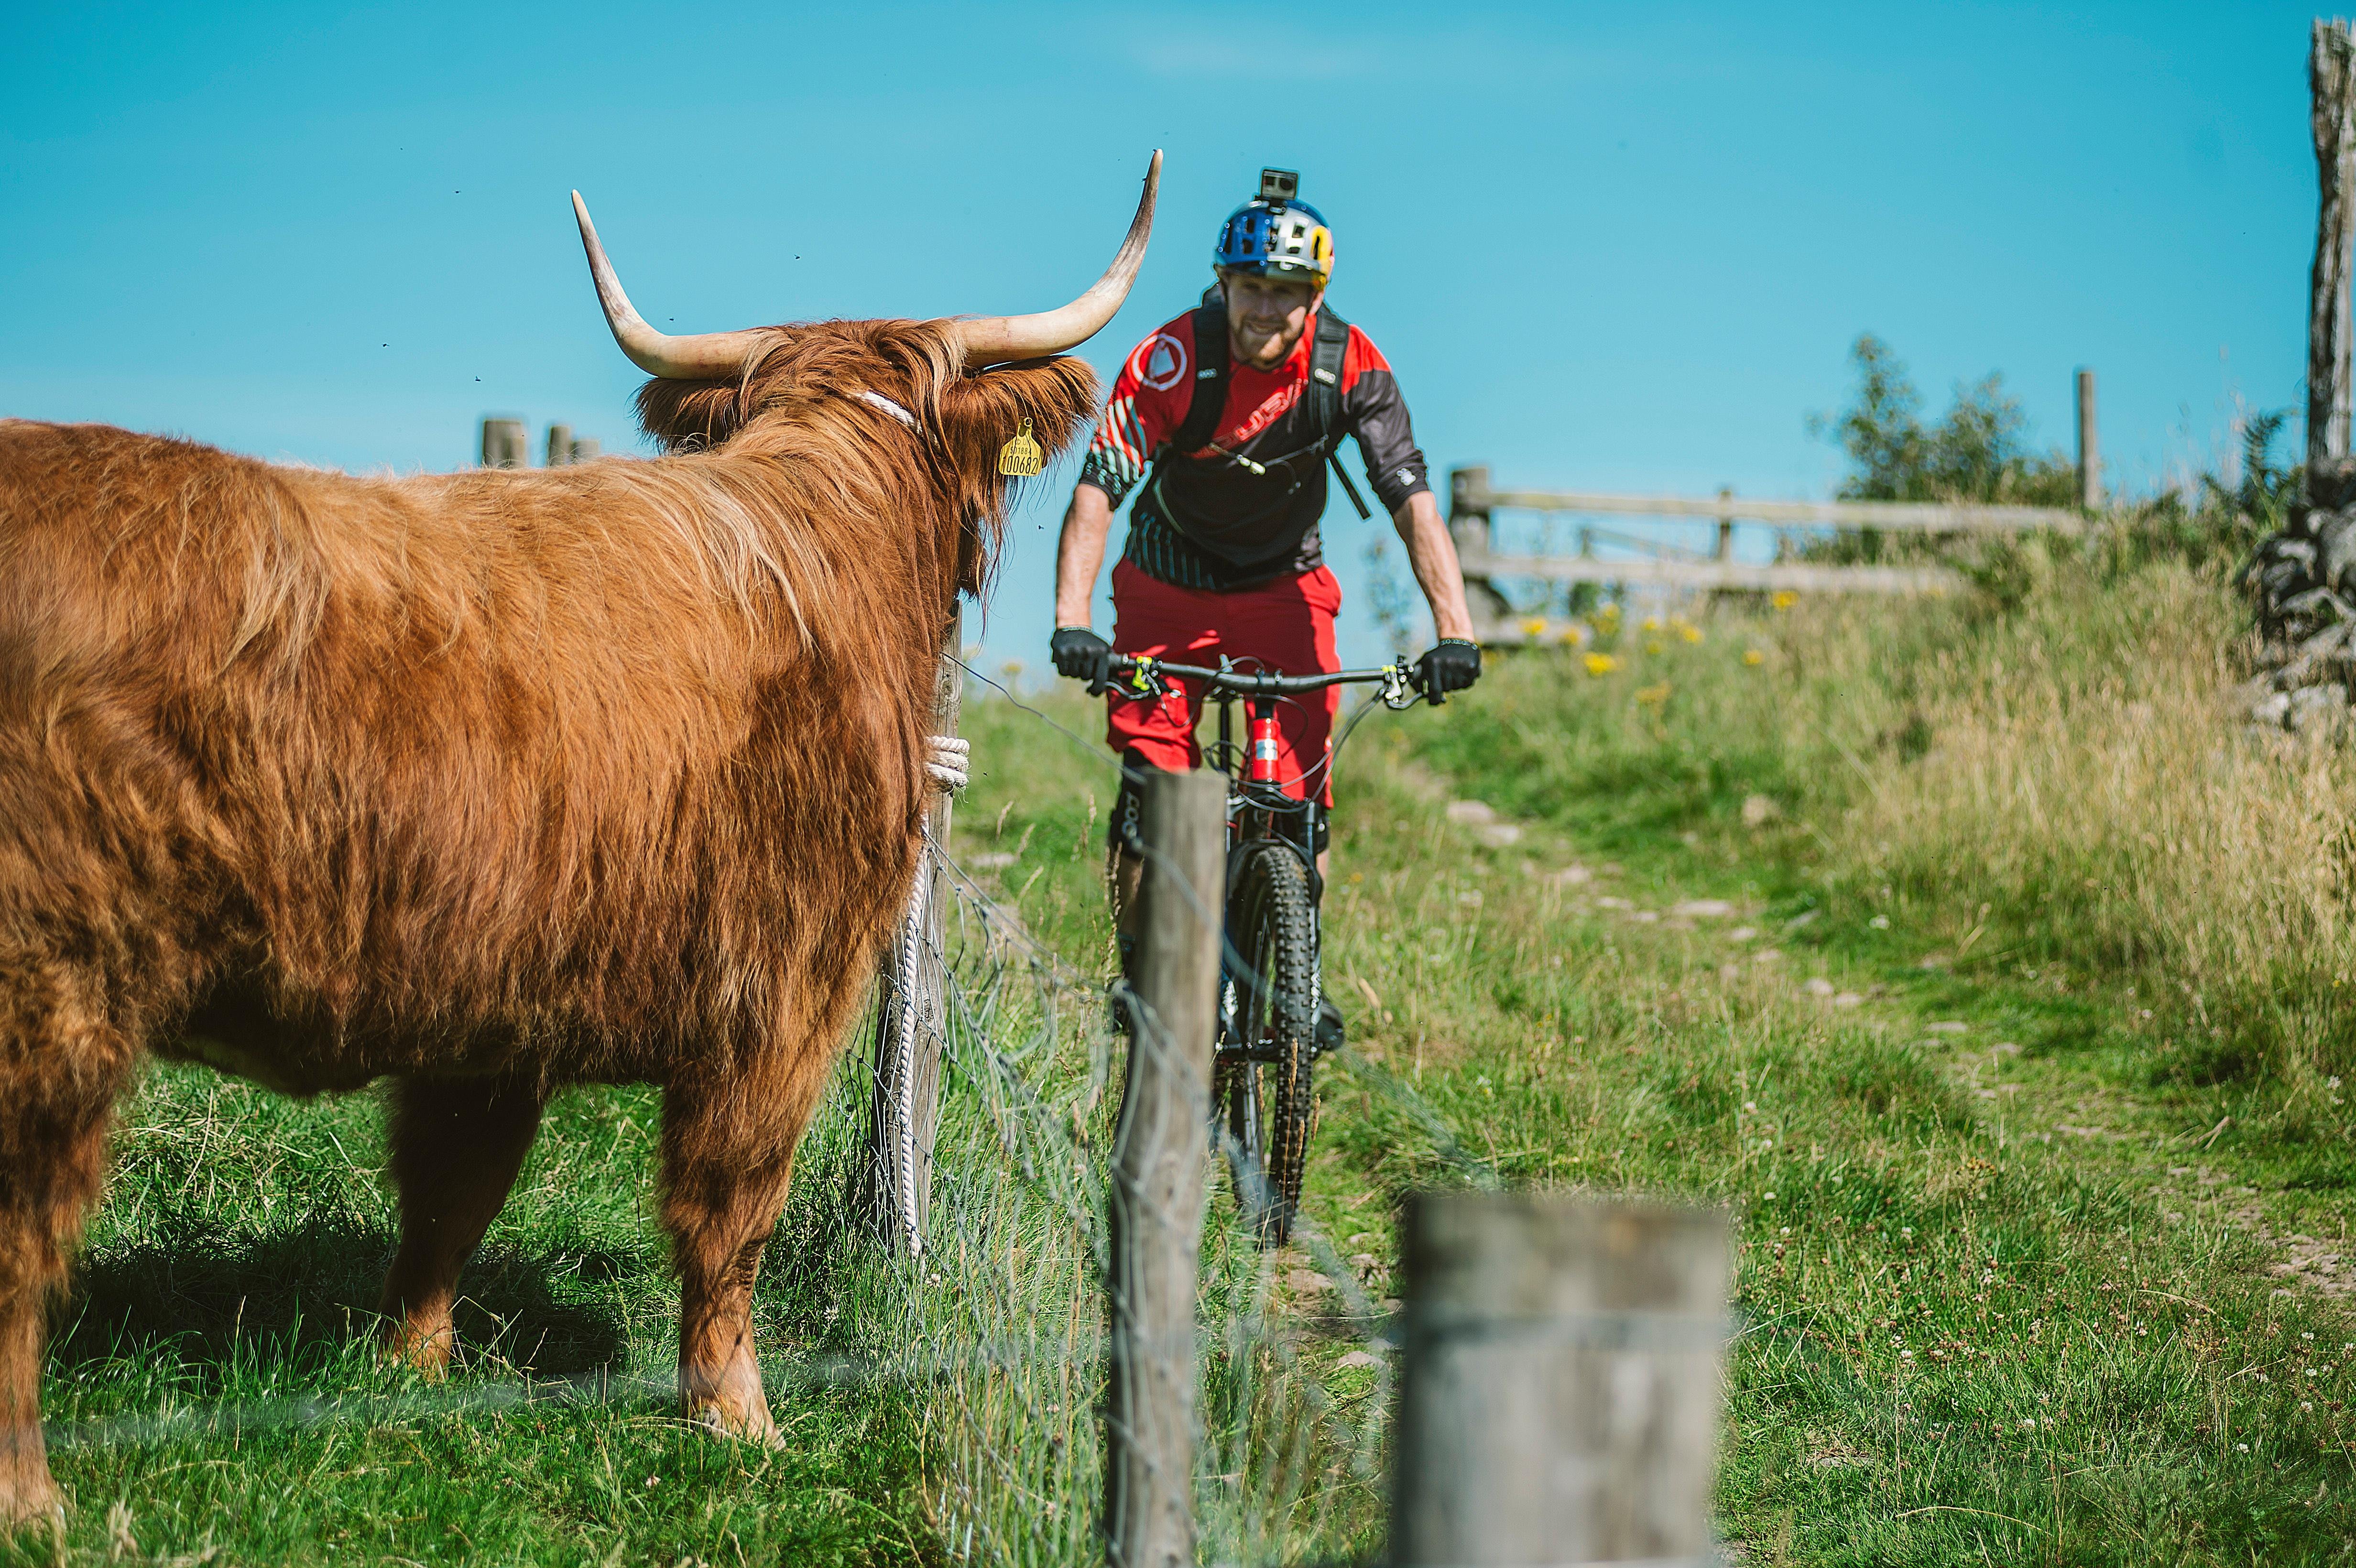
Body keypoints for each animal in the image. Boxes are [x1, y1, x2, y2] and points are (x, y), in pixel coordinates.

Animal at [0, 153, 1159, 1516]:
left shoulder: (491, 1005)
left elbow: (451, 1192)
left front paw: (415, 1368)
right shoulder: (782, 992)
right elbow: (730, 1215)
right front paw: (739, 1418)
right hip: (52, 1004)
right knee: (22, 1245)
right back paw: (38, 1503)